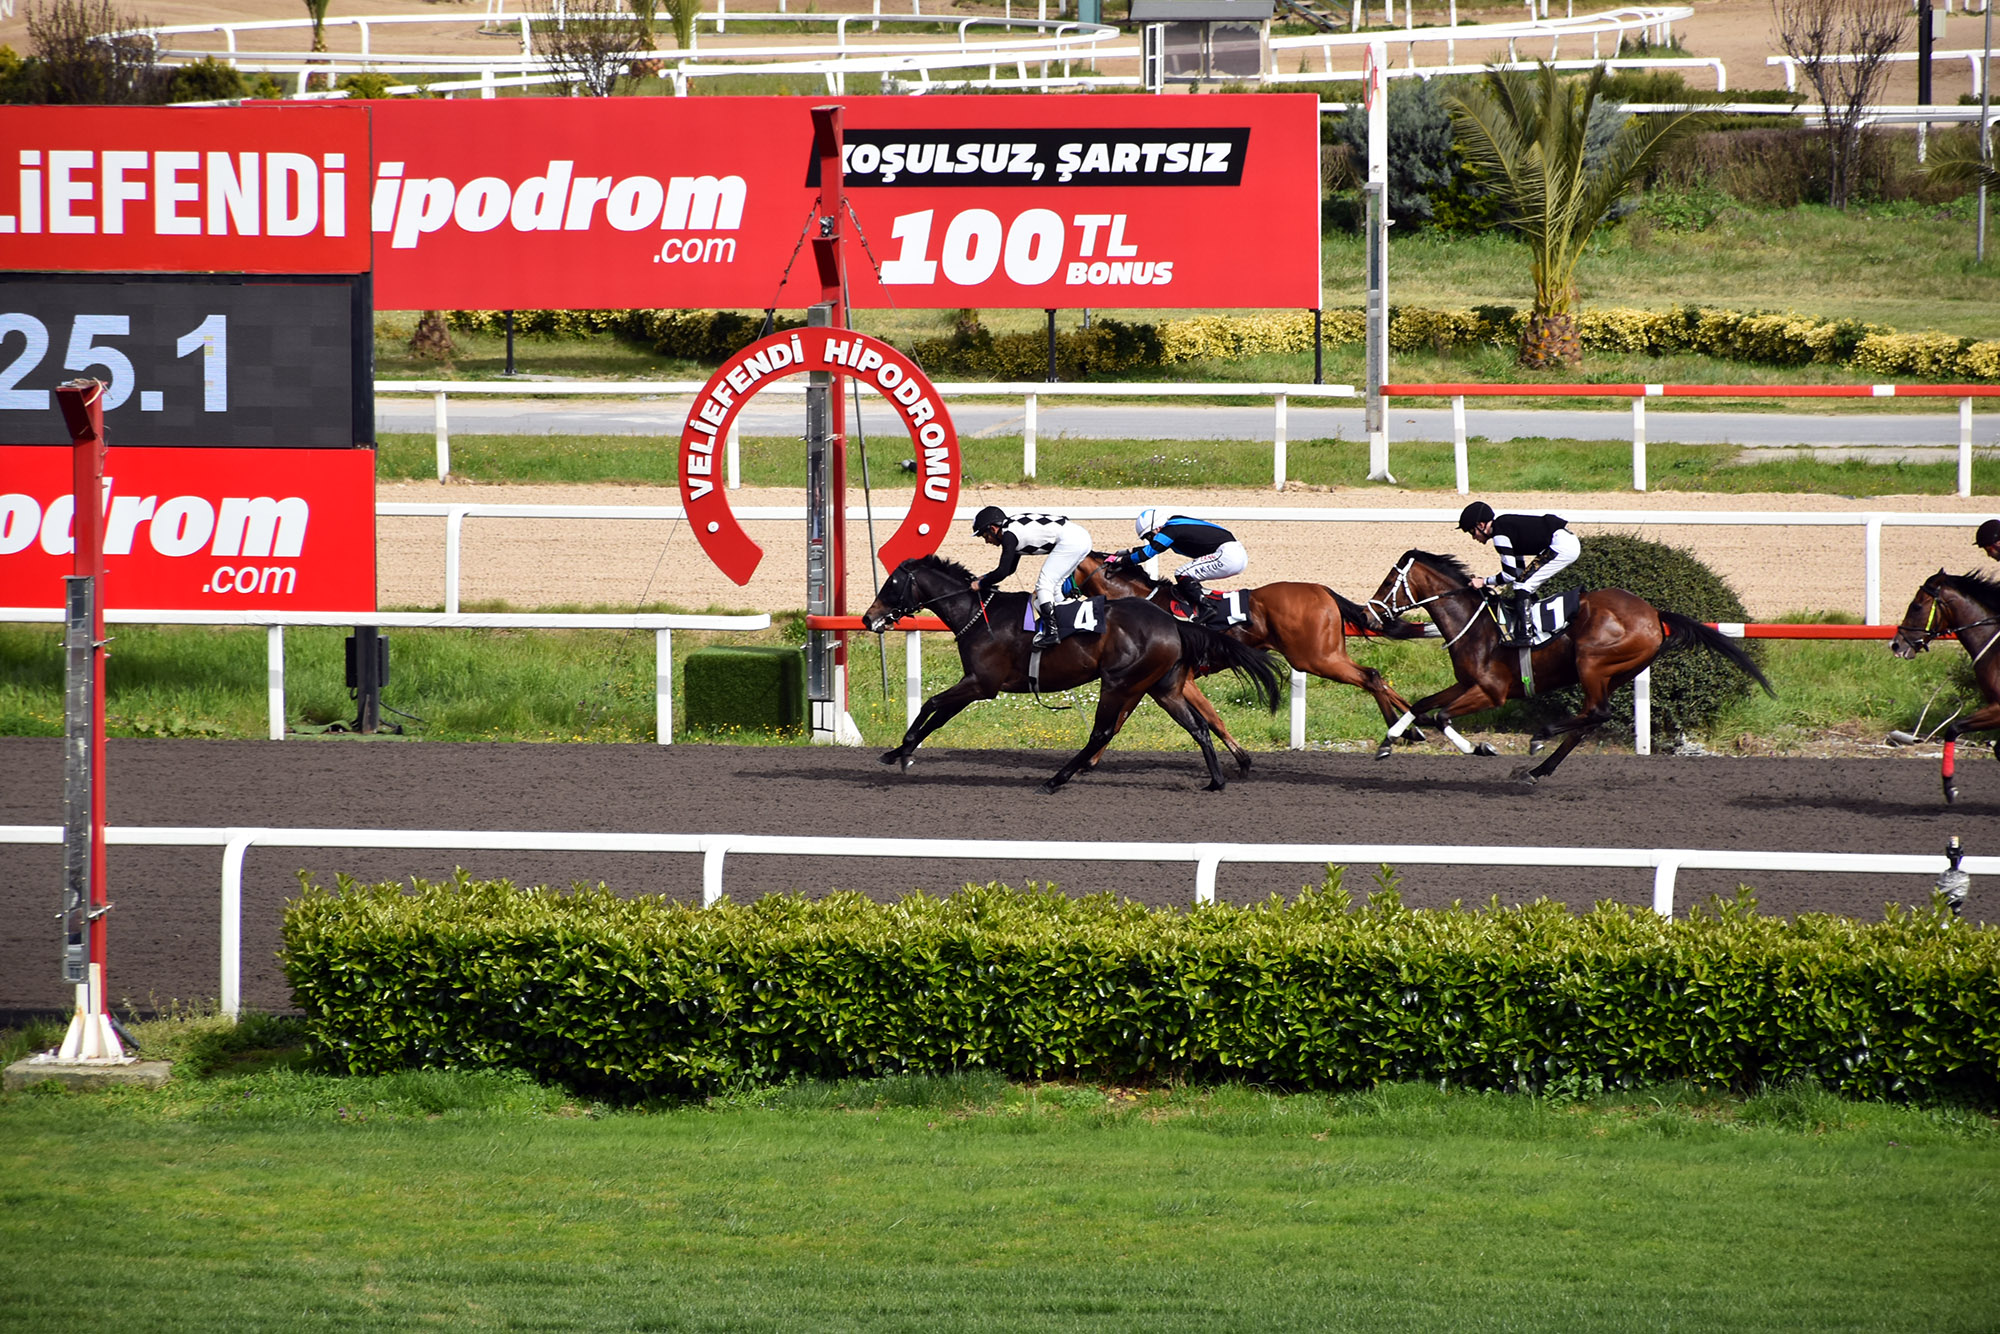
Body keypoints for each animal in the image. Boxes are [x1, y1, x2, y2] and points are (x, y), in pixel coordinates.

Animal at [860, 552, 1280, 792]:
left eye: (892, 583)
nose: (867, 618)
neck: (978, 614)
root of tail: (1173, 622)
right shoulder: (976, 683)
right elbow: (938, 714)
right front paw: (900, 751)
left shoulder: (981, 683)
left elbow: (931, 703)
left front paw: (901, 750)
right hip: (1164, 687)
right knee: (1198, 727)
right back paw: (1217, 781)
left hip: (1120, 683)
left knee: (1101, 733)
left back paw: (1056, 779)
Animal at [1072, 552, 1432, 760]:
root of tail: (1321, 590)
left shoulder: (1178, 680)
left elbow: (1209, 719)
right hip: (1326, 654)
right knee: (1377, 677)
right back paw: (1415, 724)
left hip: (1315, 658)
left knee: (1370, 676)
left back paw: (1403, 726)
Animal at [1368, 552, 1776, 784]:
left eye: (1388, 582)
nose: (1371, 616)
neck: (1477, 625)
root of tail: (1655, 615)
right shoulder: (1468, 683)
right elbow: (1422, 704)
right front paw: (1389, 741)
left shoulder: (1491, 691)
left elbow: (1441, 716)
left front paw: (1480, 747)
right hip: (1616, 673)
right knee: (1588, 720)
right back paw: (1537, 770)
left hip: (1593, 662)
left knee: (1597, 713)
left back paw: (1539, 738)